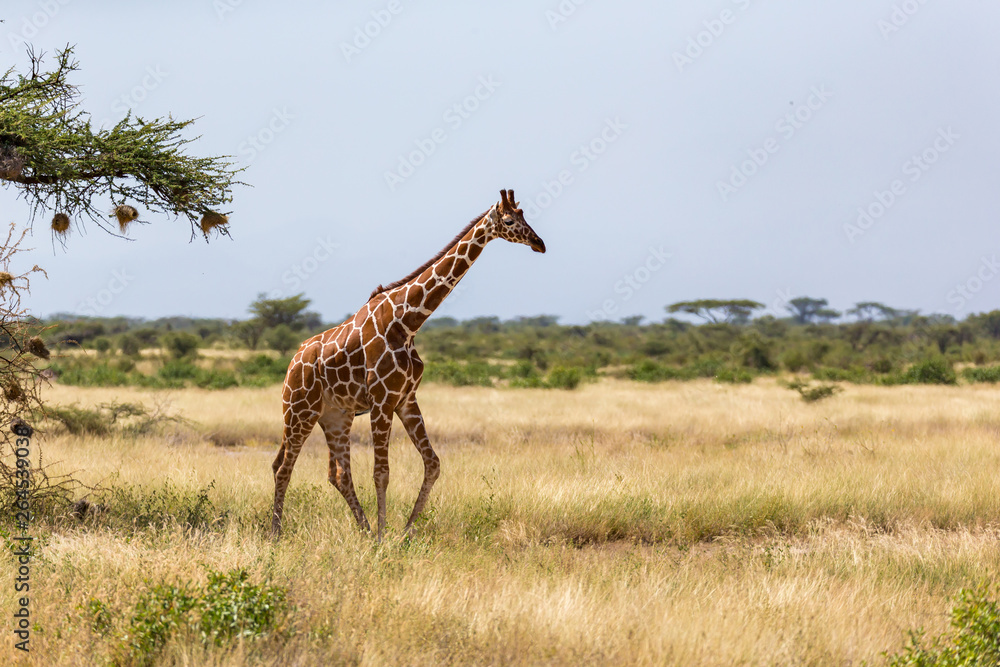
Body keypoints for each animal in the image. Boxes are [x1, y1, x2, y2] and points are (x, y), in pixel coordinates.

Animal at [270, 189, 545, 539]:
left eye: (525, 215)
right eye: (509, 221)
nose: (539, 243)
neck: (408, 321)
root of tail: (293, 362)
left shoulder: (406, 399)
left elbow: (433, 463)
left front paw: (403, 533)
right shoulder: (382, 401)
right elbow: (381, 472)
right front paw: (383, 536)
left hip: (335, 416)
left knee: (338, 473)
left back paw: (362, 529)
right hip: (298, 411)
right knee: (283, 466)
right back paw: (276, 534)